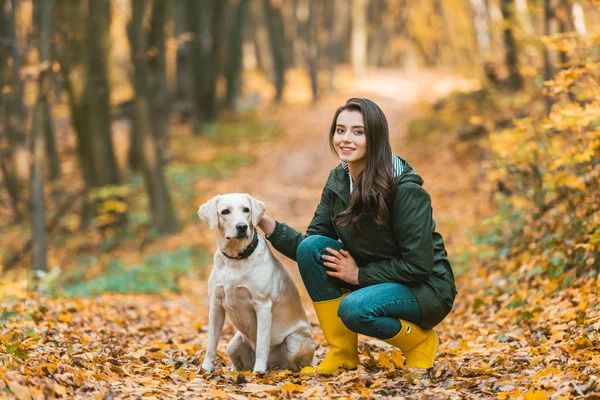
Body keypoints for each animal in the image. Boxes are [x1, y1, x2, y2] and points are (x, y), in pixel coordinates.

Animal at [198, 192, 318, 374]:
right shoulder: (216, 305)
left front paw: (259, 371)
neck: (236, 258)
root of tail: (274, 364)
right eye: (225, 211)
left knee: (295, 365)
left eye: (246, 210)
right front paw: (206, 368)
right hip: (233, 344)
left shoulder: (262, 306)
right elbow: (211, 342)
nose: (242, 227)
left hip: (294, 340)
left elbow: (262, 343)